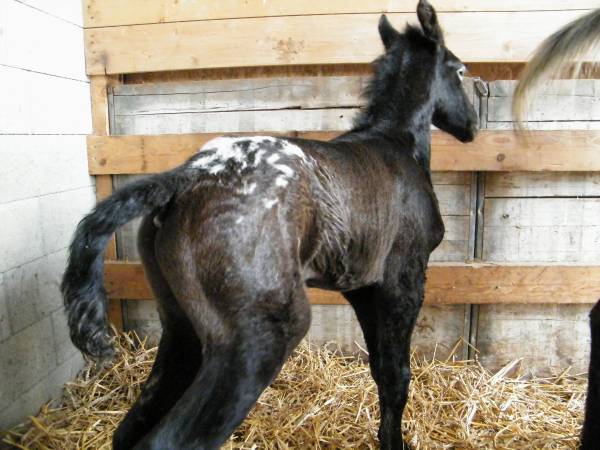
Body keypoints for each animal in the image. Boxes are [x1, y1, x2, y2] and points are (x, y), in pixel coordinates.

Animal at [62, 1, 478, 448]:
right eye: (460, 71)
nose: (472, 127)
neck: (395, 142)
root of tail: (187, 176)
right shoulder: (403, 279)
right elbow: (398, 377)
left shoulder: (364, 287)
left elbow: (382, 373)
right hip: (258, 337)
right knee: (173, 438)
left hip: (181, 326)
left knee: (131, 427)